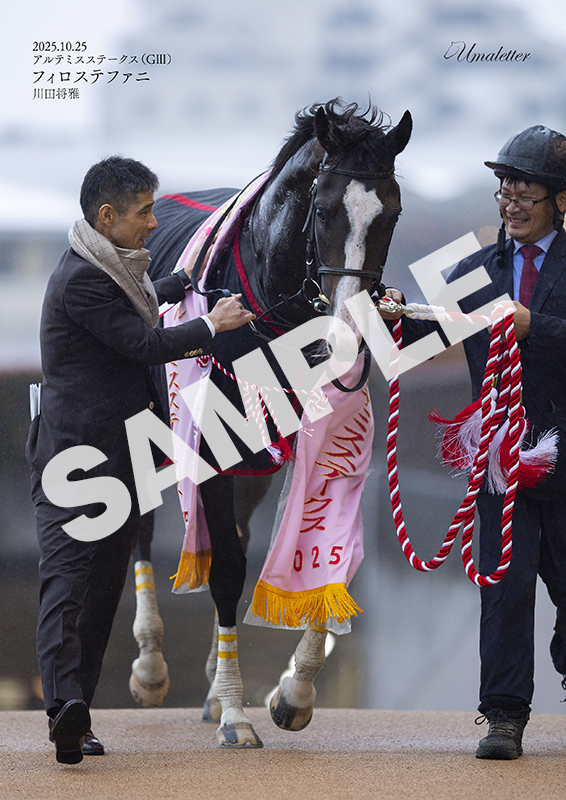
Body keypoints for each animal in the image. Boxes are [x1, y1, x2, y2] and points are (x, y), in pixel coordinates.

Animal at [129, 99, 412, 747]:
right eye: (325, 209)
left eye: (390, 213)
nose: (347, 333)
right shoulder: (210, 446)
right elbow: (228, 570)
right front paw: (235, 713)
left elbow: (330, 552)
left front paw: (294, 691)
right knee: (143, 526)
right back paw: (152, 666)